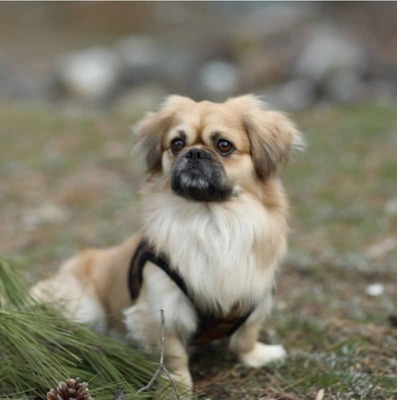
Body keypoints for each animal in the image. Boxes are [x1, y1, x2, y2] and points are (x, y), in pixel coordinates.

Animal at [31, 95, 304, 390]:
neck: (210, 220)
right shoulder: (160, 310)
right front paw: (178, 387)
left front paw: (258, 357)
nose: (194, 153)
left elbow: (245, 337)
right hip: (83, 306)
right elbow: (174, 356)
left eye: (224, 145)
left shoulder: (253, 295)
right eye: (177, 144)